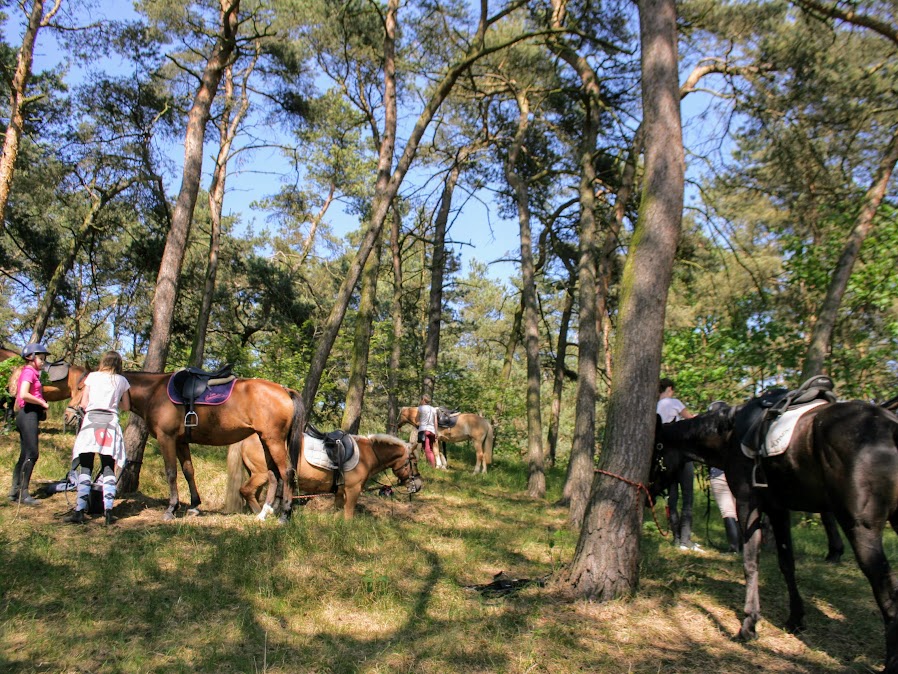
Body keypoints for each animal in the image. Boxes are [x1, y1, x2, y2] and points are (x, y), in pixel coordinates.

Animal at [67, 372, 304, 520]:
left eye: (81, 387)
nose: (69, 414)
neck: (154, 392)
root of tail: (284, 390)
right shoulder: (181, 441)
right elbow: (189, 471)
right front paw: (194, 506)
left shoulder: (166, 439)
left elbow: (171, 472)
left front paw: (171, 509)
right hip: (265, 440)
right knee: (273, 475)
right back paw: (264, 514)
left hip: (273, 440)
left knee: (286, 472)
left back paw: (285, 514)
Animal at [222, 430, 422, 520]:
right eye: (414, 461)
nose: (419, 485)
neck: (368, 454)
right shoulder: (353, 490)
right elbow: (349, 514)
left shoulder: (340, 492)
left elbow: (338, 510)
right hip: (261, 474)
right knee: (246, 491)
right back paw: (261, 513)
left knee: (253, 493)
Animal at [652, 394, 896, 672]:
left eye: (656, 449)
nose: (648, 488)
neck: (730, 432)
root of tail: (889, 426)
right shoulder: (779, 509)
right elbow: (787, 563)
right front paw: (795, 619)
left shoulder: (748, 503)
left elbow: (750, 562)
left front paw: (748, 625)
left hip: (860, 527)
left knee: (886, 591)